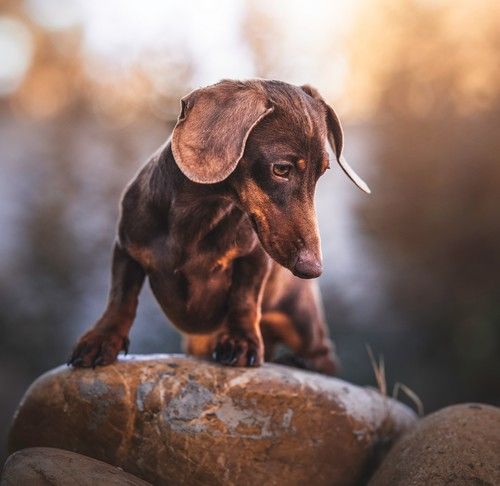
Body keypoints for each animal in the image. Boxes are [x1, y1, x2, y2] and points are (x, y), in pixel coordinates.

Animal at [68, 80, 370, 376]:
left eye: (322, 172)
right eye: (281, 169)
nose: (313, 269)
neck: (198, 213)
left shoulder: (254, 258)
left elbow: (245, 298)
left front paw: (242, 342)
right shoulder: (127, 247)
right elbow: (121, 296)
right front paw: (102, 338)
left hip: (301, 320)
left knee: (323, 355)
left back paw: (300, 362)